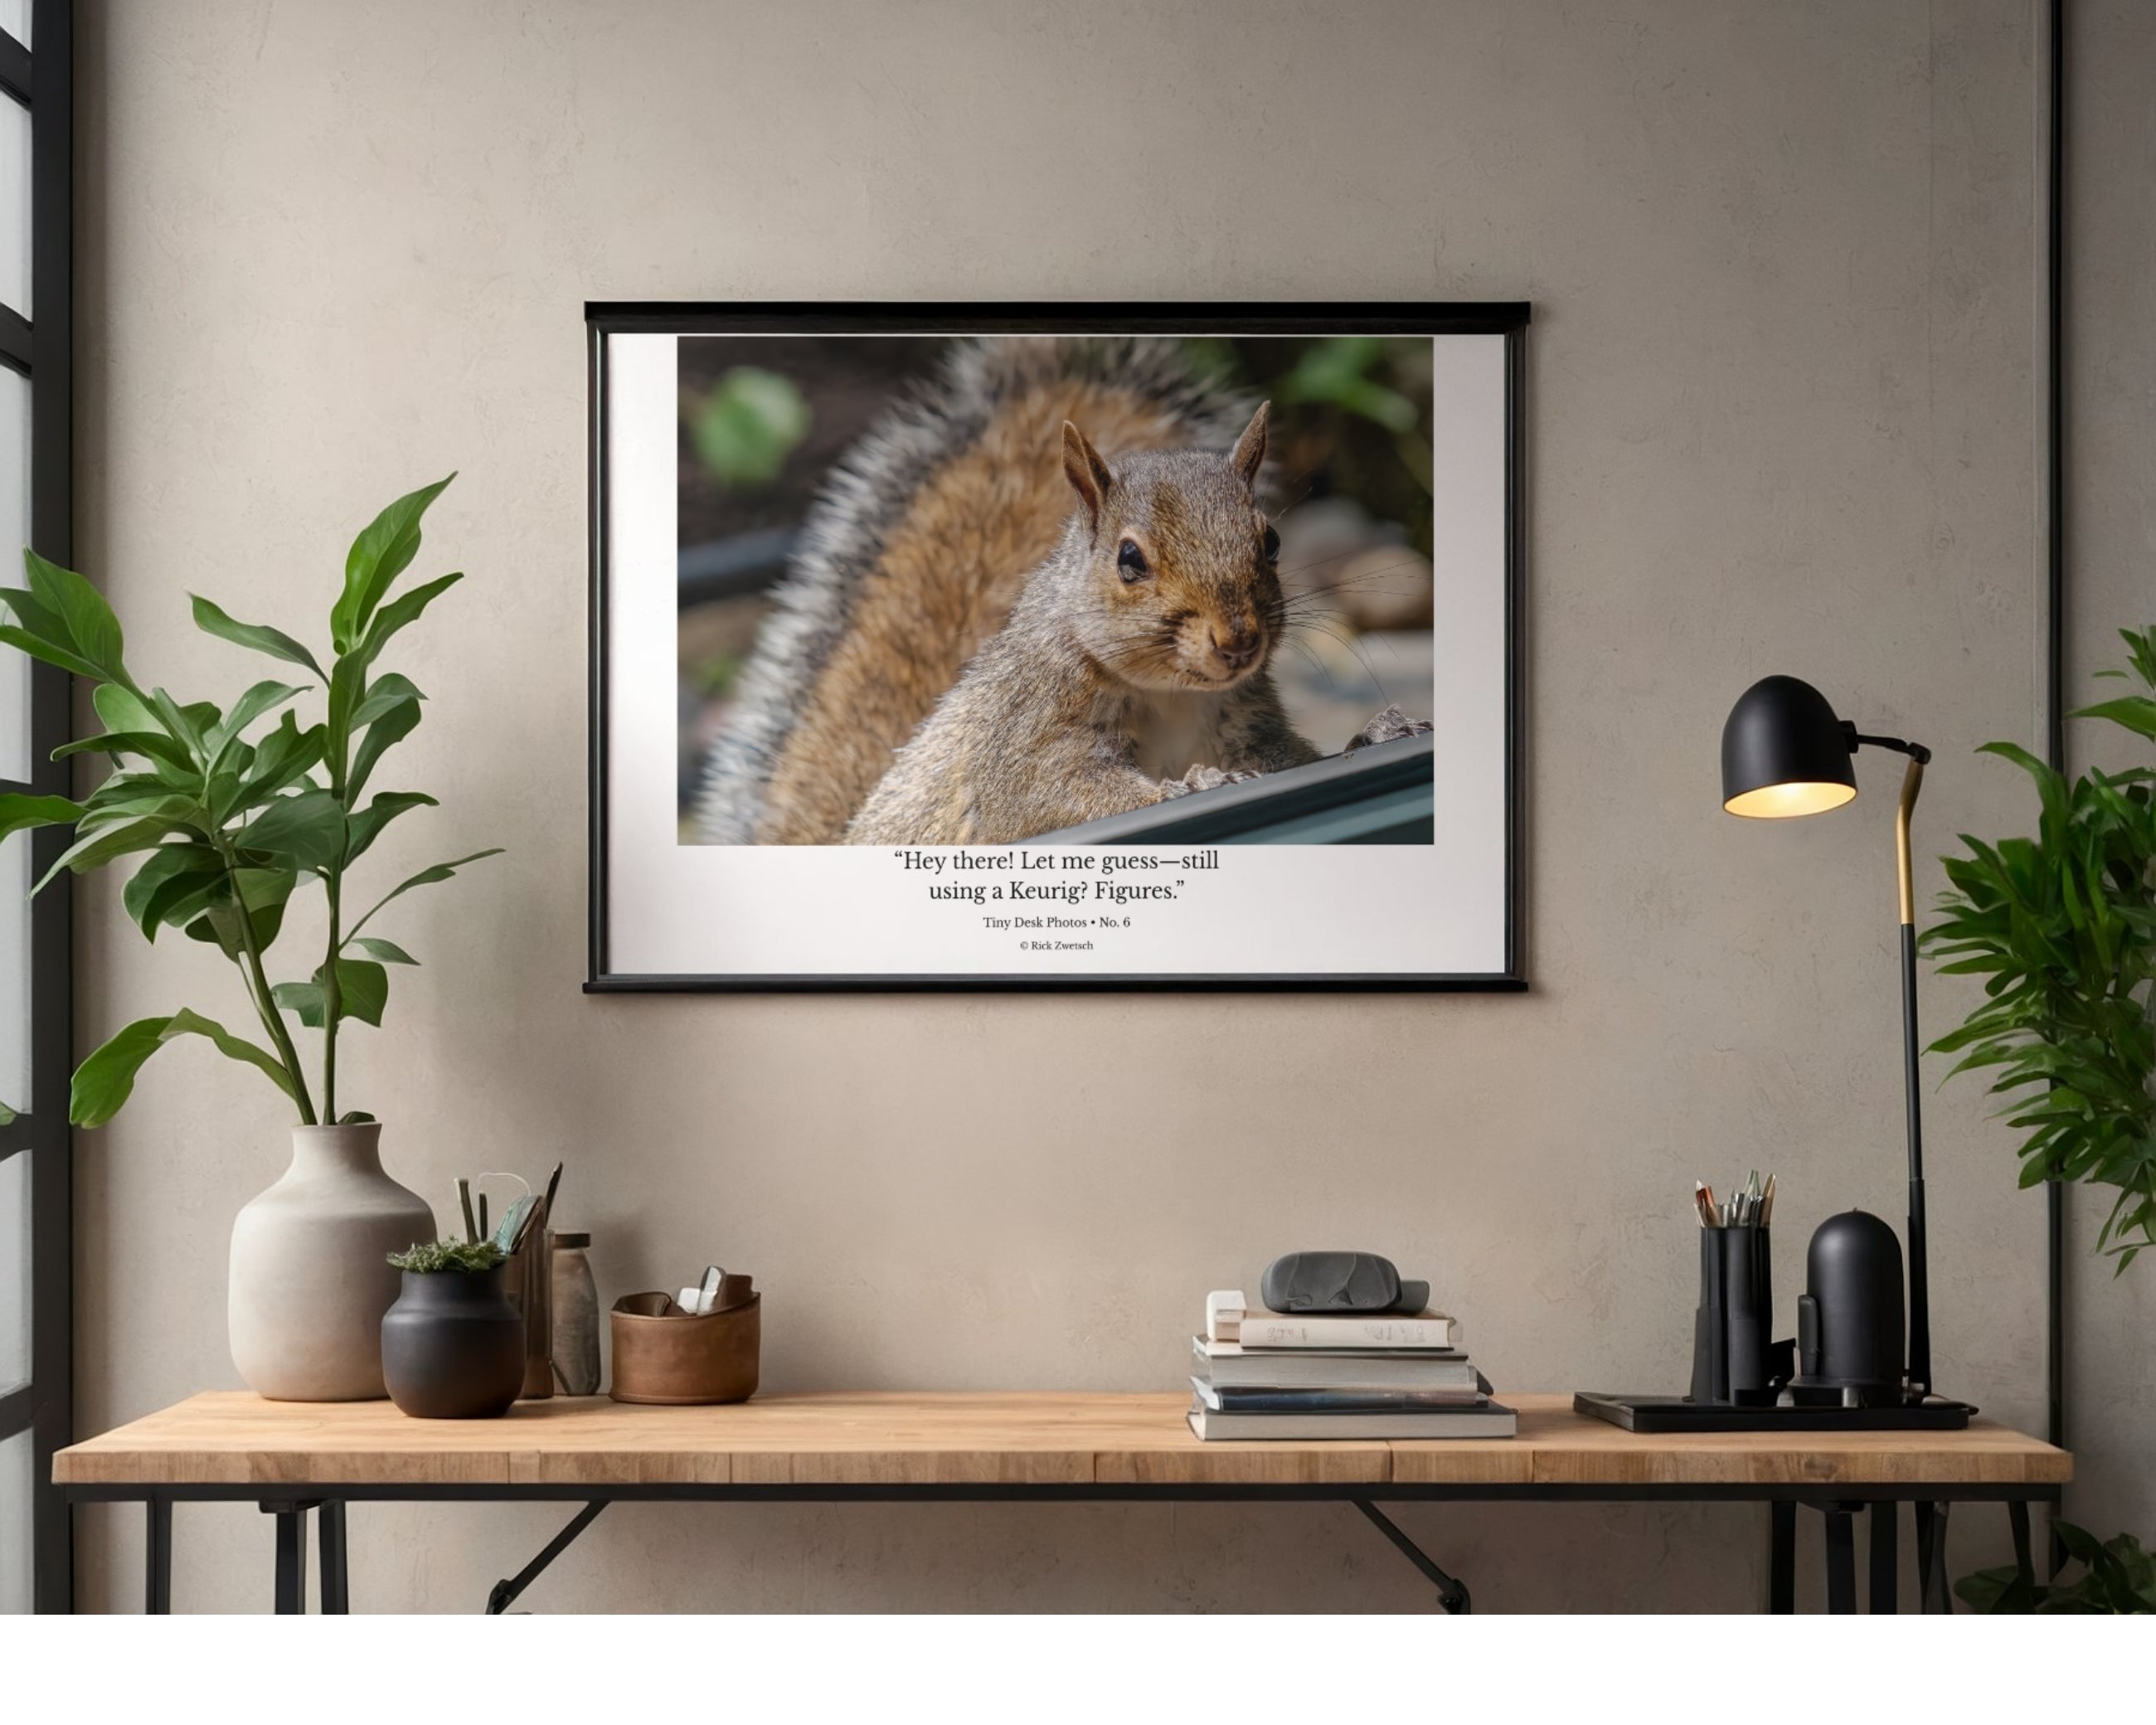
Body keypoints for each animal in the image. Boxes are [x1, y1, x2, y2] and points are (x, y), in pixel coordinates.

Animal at [845, 404, 1327, 845]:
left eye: (1272, 541)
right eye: (1129, 559)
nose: (1238, 641)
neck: (1173, 694)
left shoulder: (1248, 719)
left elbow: (1291, 757)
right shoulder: (1029, 723)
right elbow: (1047, 796)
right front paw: (1188, 788)